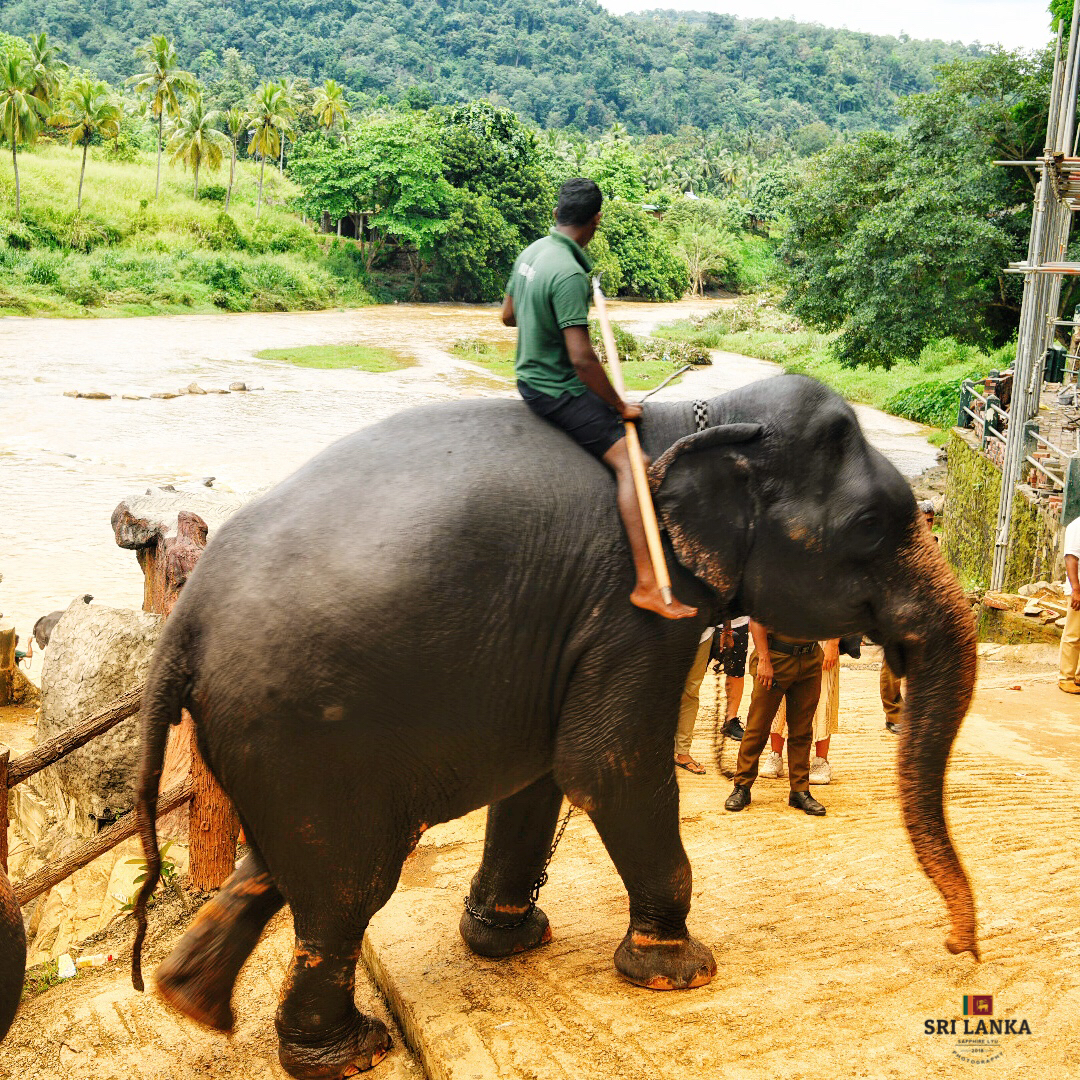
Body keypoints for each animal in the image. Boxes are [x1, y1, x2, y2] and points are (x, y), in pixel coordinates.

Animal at [128, 373, 980, 1080]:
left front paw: (510, 940)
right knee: (349, 888)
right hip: (305, 730)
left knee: (282, 867)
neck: (690, 416)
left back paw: (187, 1001)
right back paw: (350, 1053)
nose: (960, 947)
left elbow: (543, 778)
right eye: (870, 525)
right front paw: (680, 971)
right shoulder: (637, 607)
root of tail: (183, 626)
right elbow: (608, 767)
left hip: (271, 741)